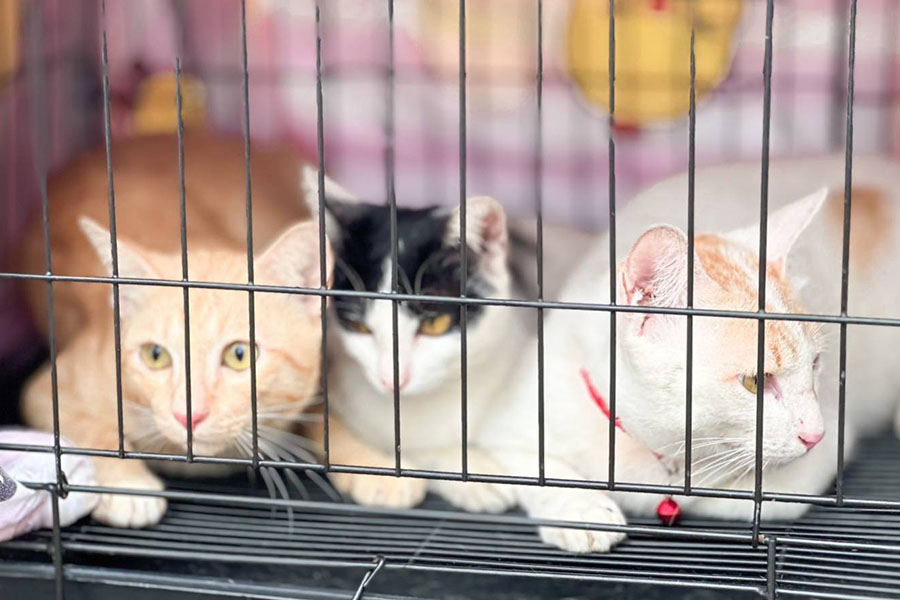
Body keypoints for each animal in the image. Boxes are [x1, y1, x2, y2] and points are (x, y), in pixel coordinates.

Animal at [17, 133, 333, 527]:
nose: (188, 415)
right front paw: (127, 485)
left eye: (240, 355)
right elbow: (80, 426)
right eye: (156, 356)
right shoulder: (48, 390)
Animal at [479, 154, 900, 553]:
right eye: (755, 381)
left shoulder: (815, 463)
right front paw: (580, 510)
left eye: (815, 364)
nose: (816, 434)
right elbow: (530, 471)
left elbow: (737, 496)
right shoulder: (513, 422)